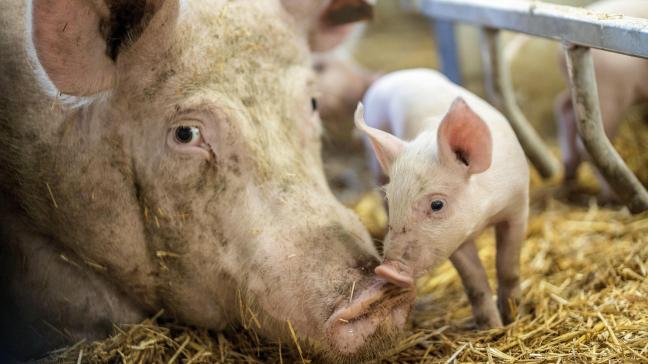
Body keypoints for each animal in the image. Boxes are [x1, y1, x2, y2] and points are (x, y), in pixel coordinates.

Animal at [356, 68, 528, 328]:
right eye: (392, 198)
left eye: (437, 204)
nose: (386, 270)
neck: (485, 215)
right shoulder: (450, 240)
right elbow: (474, 280)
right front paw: (492, 327)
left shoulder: (518, 207)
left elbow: (509, 266)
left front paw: (511, 318)